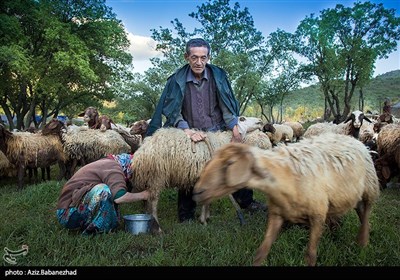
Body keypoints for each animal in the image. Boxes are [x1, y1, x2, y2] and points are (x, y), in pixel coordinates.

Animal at [130, 116, 268, 230]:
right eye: (242, 119)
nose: (260, 121)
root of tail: (142, 150)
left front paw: (206, 218)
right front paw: (203, 220)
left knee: (147, 199)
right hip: (157, 175)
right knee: (153, 201)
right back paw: (157, 228)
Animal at [192, 132, 380, 266]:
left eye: (229, 163)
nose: (196, 192)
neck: (283, 175)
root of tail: (355, 139)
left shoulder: (317, 215)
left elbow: (310, 255)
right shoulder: (277, 214)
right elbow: (261, 252)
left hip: (370, 188)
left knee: (367, 211)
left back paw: (363, 242)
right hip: (351, 195)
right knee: (360, 211)